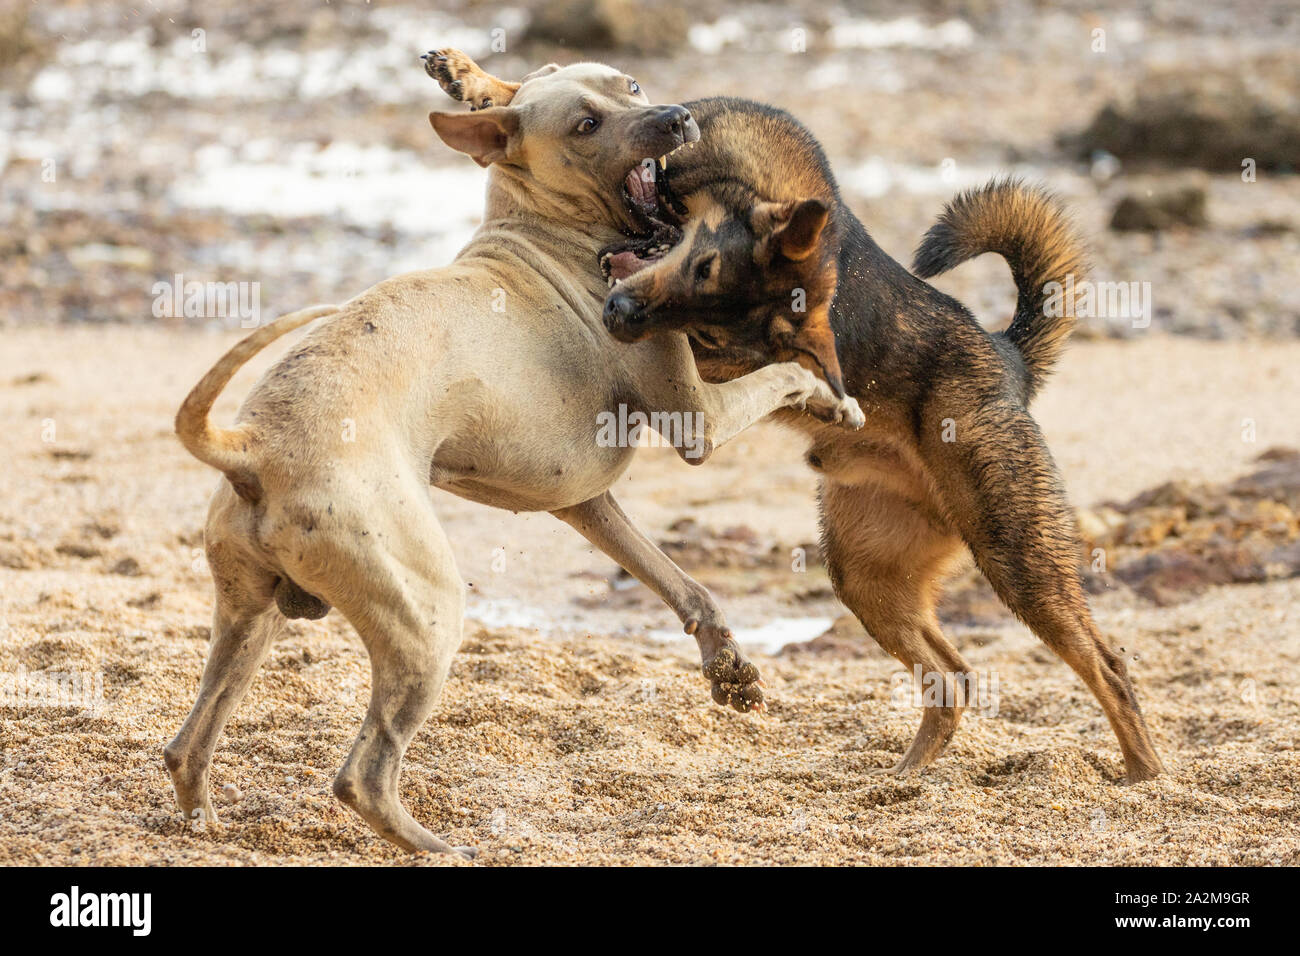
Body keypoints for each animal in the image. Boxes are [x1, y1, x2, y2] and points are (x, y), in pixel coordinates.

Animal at [167, 59, 868, 858]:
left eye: (628, 85)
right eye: (586, 124)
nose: (677, 117)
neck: (551, 233)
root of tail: (251, 447)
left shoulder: (584, 503)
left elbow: (680, 583)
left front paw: (729, 671)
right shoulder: (700, 422)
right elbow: (782, 376)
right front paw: (834, 400)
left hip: (250, 617)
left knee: (187, 745)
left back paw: (205, 823)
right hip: (425, 613)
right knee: (363, 775)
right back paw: (446, 849)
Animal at [431, 54, 1164, 785]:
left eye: (709, 310)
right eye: (696, 267)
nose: (620, 317)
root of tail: (1009, 359)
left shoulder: (706, 394)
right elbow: (526, 85)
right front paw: (469, 78)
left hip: (1016, 554)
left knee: (1105, 665)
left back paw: (1142, 775)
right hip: (867, 574)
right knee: (952, 676)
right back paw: (903, 780)